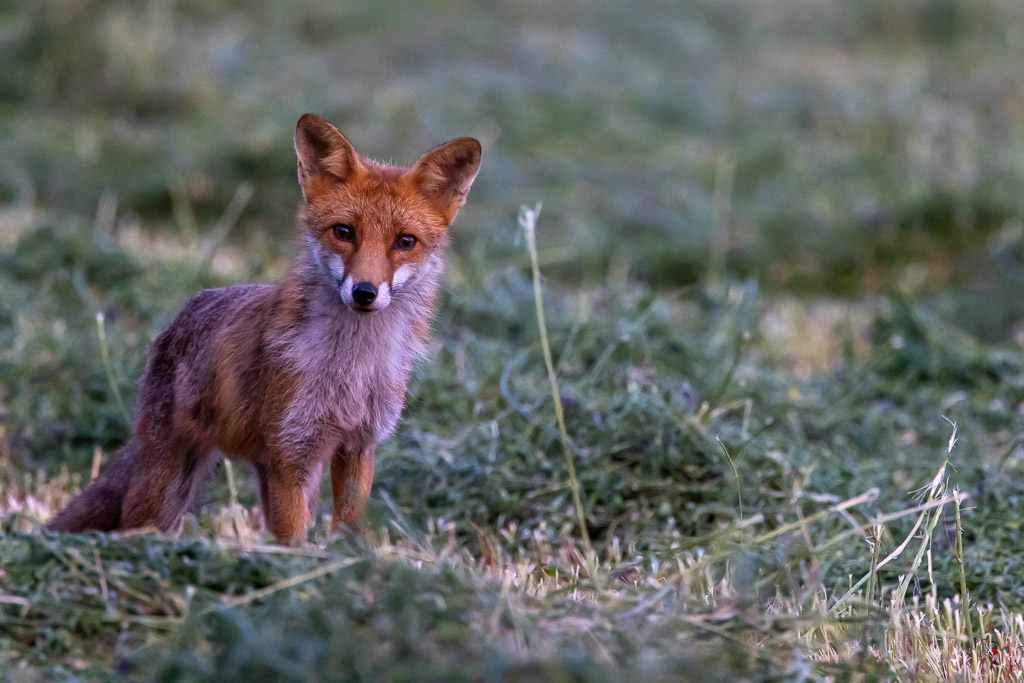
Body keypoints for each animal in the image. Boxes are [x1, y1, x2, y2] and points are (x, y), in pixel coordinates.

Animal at [47, 113, 481, 543]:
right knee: (134, 523)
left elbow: (348, 533)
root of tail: (184, 312)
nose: (364, 293)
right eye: (344, 232)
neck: (351, 368)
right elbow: (294, 543)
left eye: (405, 241)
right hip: (169, 489)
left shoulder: (357, 448)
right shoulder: (291, 456)